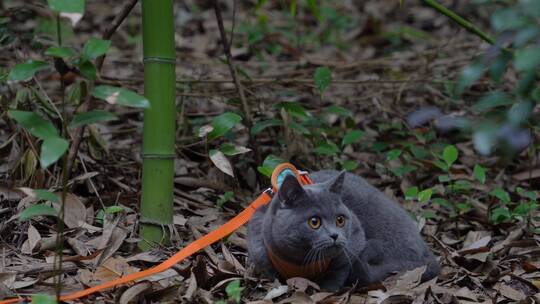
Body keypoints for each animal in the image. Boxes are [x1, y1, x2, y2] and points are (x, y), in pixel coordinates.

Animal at [247, 170, 440, 290]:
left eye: (340, 220)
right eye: (314, 222)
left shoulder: (355, 239)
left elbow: (338, 270)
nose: (335, 235)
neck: (300, 262)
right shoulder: (258, 245)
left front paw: (327, 289)